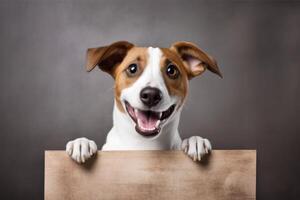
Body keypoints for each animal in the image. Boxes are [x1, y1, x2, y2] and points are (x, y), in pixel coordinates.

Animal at [65, 41, 221, 164]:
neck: (144, 145)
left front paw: (195, 141)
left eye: (171, 70)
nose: (151, 95)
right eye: (132, 68)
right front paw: (81, 143)